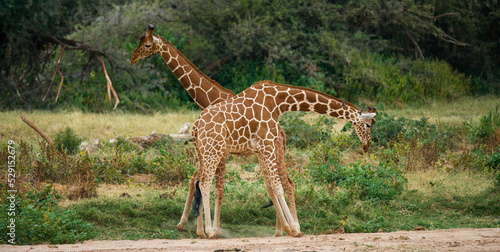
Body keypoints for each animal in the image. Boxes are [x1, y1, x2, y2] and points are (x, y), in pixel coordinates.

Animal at [129, 24, 298, 236]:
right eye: (140, 40)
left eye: (147, 44)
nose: (132, 59)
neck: (211, 98)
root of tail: (283, 133)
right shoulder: (210, 150)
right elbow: (196, 180)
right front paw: (190, 225)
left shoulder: (220, 151)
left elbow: (217, 188)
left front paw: (210, 229)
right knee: (276, 183)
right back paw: (280, 230)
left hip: (274, 152)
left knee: (285, 183)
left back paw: (286, 229)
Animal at [191, 80, 376, 238]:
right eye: (368, 125)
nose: (366, 146)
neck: (278, 102)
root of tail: (196, 126)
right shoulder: (267, 144)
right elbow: (278, 187)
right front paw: (293, 227)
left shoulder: (262, 148)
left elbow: (272, 186)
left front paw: (289, 227)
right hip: (213, 151)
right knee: (205, 183)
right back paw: (209, 230)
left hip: (202, 153)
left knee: (198, 182)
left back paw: (202, 231)